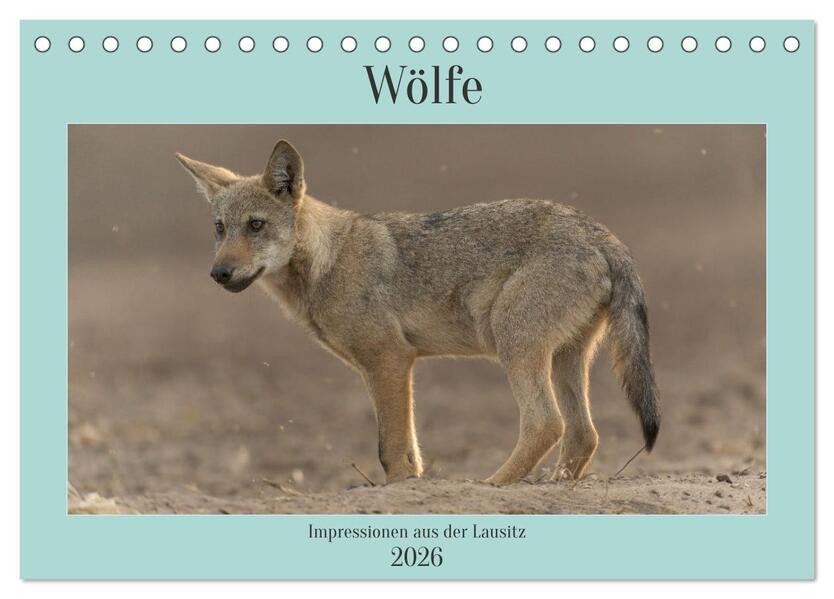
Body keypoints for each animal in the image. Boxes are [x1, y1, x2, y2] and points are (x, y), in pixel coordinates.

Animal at [176, 140, 660, 485]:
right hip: (565, 358)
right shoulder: (390, 366)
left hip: (516, 346)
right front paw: (413, 485)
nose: (218, 273)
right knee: (583, 435)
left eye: (255, 225)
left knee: (547, 424)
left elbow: (390, 449)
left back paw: (490, 486)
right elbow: (408, 451)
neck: (328, 262)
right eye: (220, 229)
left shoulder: (389, 360)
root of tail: (601, 233)